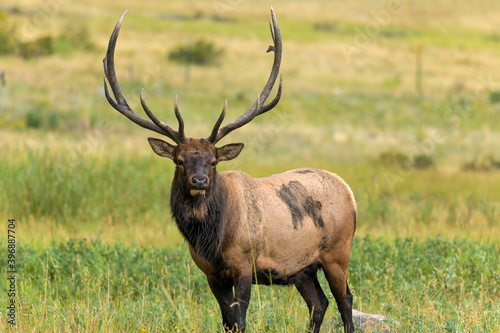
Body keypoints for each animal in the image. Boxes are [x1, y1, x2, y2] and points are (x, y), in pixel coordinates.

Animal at [104, 7, 356, 332]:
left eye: (214, 161)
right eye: (179, 160)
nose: (199, 180)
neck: (213, 240)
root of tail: (349, 192)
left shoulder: (245, 266)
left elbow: (240, 319)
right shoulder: (211, 273)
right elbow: (226, 320)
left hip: (338, 252)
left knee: (345, 300)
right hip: (303, 268)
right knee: (319, 303)